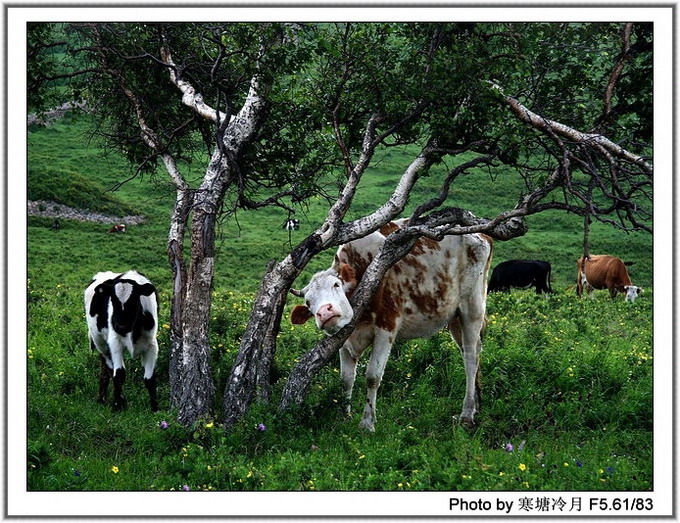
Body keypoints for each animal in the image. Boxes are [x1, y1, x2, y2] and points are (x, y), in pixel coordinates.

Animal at [84, 270, 159, 414]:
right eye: (112, 300)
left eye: (134, 300)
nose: (120, 326)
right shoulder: (115, 342)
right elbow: (119, 374)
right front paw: (117, 406)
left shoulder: (152, 345)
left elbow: (149, 378)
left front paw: (155, 408)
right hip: (99, 340)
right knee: (108, 366)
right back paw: (109, 398)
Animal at [290, 219, 492, 432]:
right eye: (308, 303)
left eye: (336, 284)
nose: (325, 312)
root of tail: (481, 234)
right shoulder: (345, 339)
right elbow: (346, 379)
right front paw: (344, 416)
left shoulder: (386, 327)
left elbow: (372, 376)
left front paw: (367, 423)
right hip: (453, 317)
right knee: (471, 351)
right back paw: (477, 404)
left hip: (472, 308)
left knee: (471, 357)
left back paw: (467, 414)